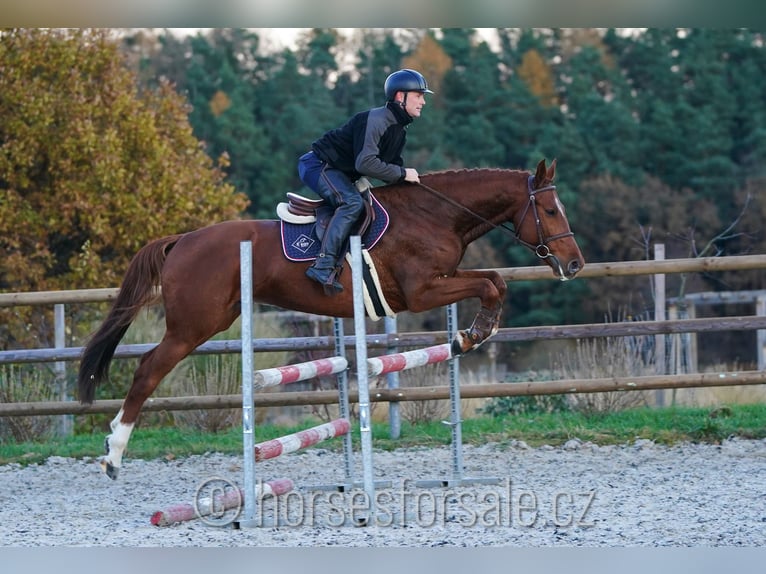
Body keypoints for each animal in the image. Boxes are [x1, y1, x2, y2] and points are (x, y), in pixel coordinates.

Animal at [78, 160, 584, 480]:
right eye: (550, 210)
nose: (575, 264)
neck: (434, 214)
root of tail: (181, 240)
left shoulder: (441, 282)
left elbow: (494, 280)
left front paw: (472, 334)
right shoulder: (422, 291)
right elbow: (490, 285)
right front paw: (474, 334)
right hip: (193, 327)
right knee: (148, 370)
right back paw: (113, 455)